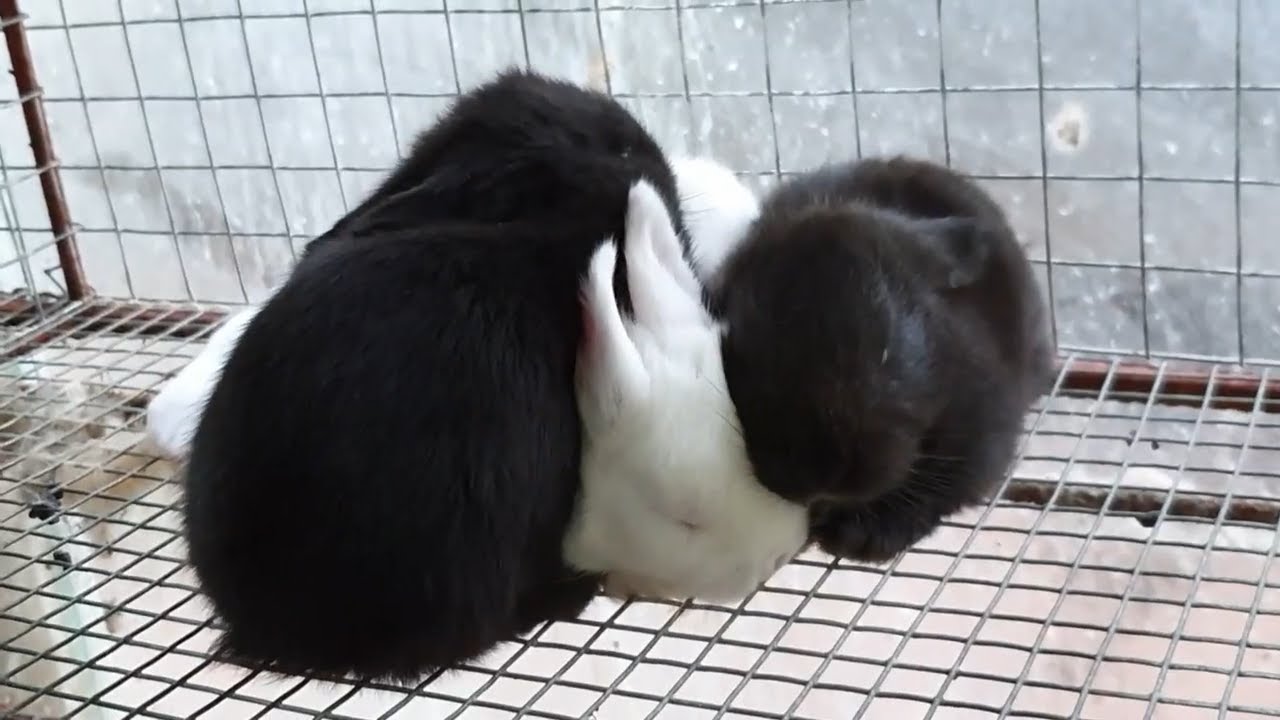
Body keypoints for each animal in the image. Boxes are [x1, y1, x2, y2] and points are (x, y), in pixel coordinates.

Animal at [706, 155, 1056, 564]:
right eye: (742, 345)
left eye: (891, 344)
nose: (821, 476)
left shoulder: (981, 432)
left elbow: (942, 487)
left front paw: (862, 538)